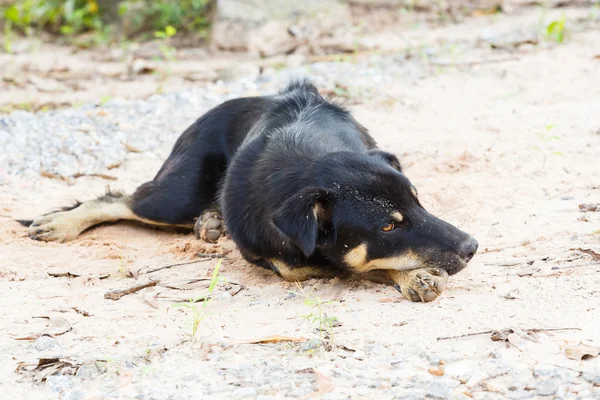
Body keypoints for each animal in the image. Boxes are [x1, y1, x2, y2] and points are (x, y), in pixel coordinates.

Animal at [22, 79, 478, 302]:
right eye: (387, 227)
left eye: (418, 201)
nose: (472, 246)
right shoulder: (281, 259)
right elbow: (348, 266)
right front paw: (412, 274)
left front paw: (414, 276)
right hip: (175, 196)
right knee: (117, 199)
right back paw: (60, 224)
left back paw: (209, 222)